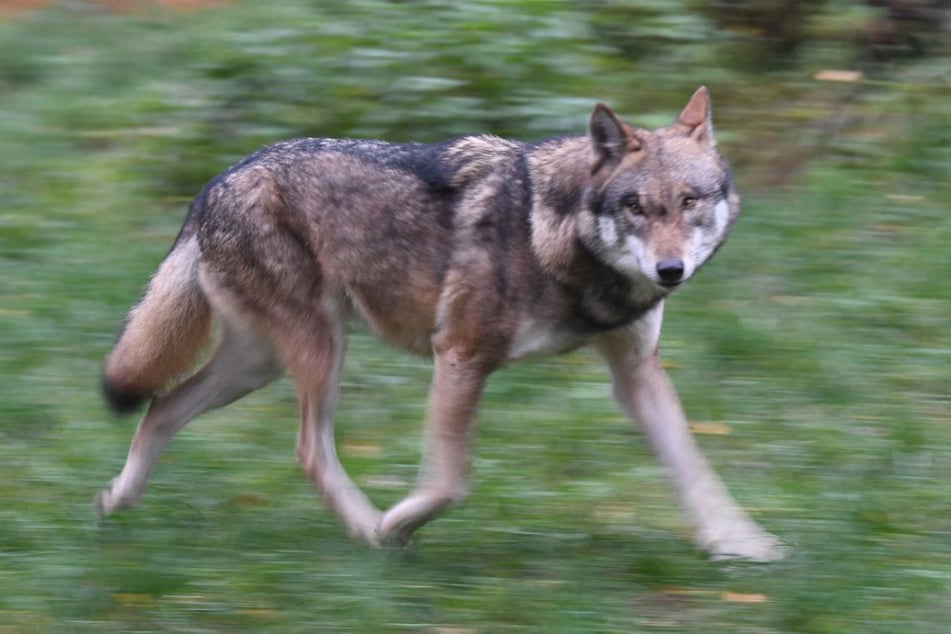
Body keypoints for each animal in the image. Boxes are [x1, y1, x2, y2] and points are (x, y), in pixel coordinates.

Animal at [96, 87, 784, 561]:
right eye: (637, 207)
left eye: (689, 201)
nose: (670, 270)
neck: (556, 237)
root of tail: (213, 183)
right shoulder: (460, 354)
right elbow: (451, 481)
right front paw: (397, 523)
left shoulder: (636, 373)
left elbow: (694, 467)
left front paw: (742, 545)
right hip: (319, 352)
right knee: (307, 450)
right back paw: (368, 530)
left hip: (259, 364)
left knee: (163, 405)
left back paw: (116, 501)